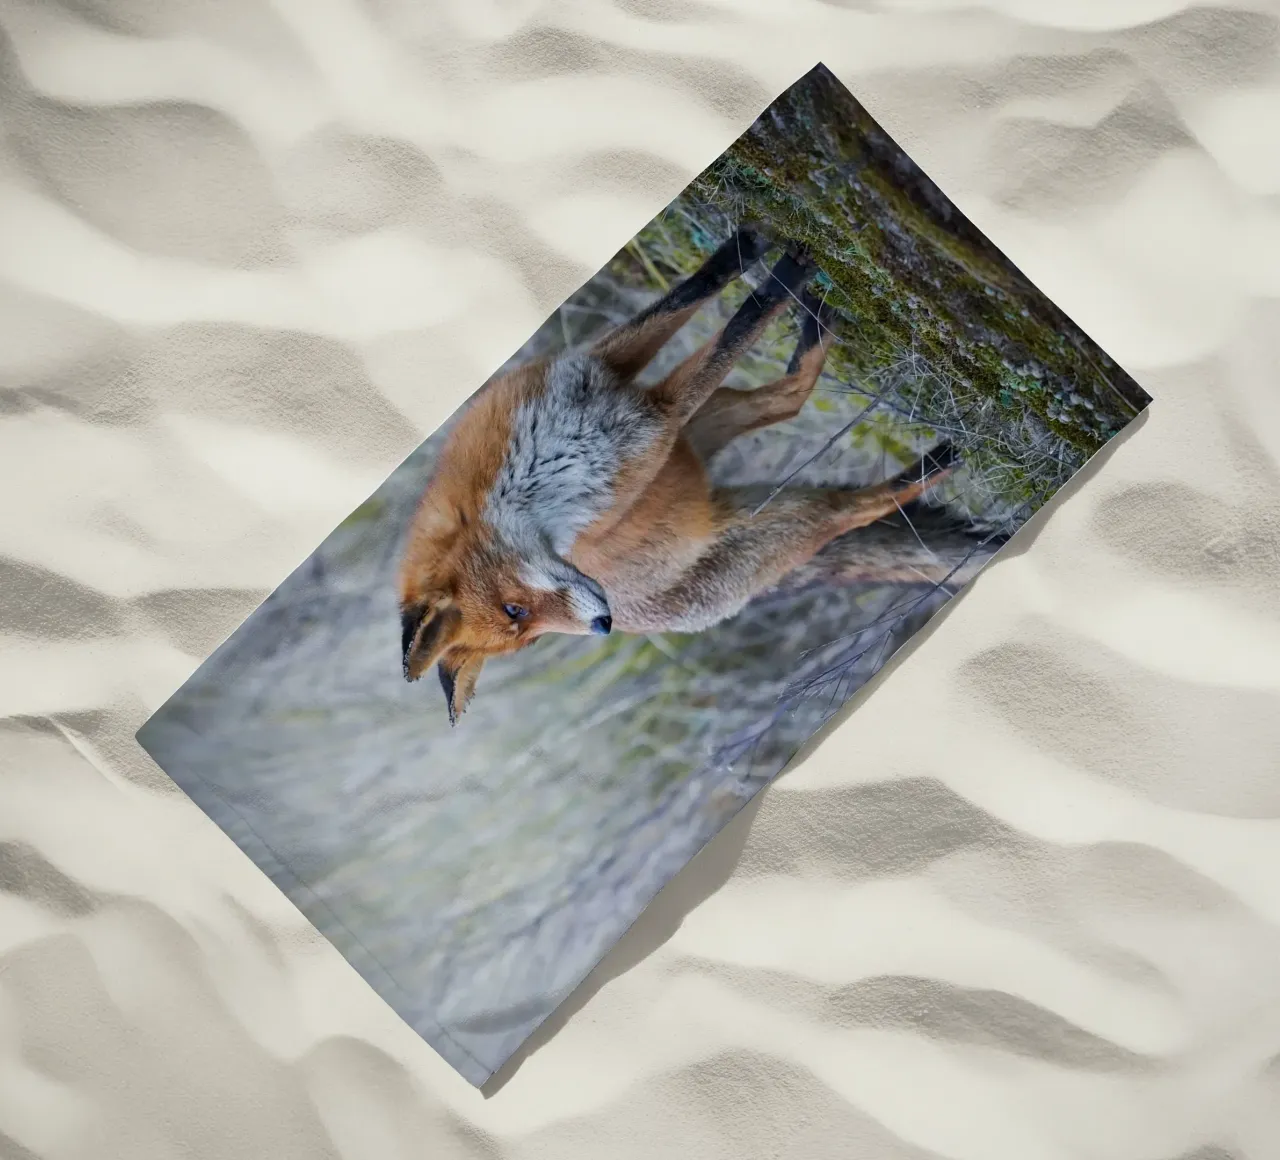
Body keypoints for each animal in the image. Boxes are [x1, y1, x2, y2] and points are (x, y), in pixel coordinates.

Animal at [398, 226, 957, 724]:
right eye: (522, 622)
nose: (603, 624)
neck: (541, 468)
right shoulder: (655, 423)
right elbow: (735, 332)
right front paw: (777, 279)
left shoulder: (604, 374)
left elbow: (689, 298)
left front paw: (747, 250)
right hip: (764, 507)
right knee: (845, 507)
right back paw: (930, 468)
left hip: (701, 436)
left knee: (789, 398)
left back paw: (817, 324)